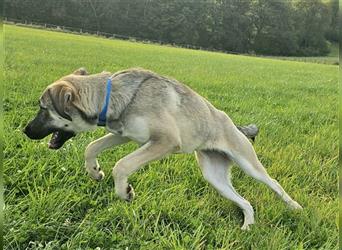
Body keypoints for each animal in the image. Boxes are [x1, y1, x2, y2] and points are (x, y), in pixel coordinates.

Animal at [24, 67, 302, 229]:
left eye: (43, 108)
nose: (25, 131)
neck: (109, 96)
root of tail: (234, 124)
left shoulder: (165, 141)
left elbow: (121, 165)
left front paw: (124, 192)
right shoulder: (125, 135)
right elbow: (92, 147)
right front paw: (94, 171)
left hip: (248, 164)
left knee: (274, 184)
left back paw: (294, 208)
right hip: (215, 177)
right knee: (246, 202)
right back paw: (247, 226)